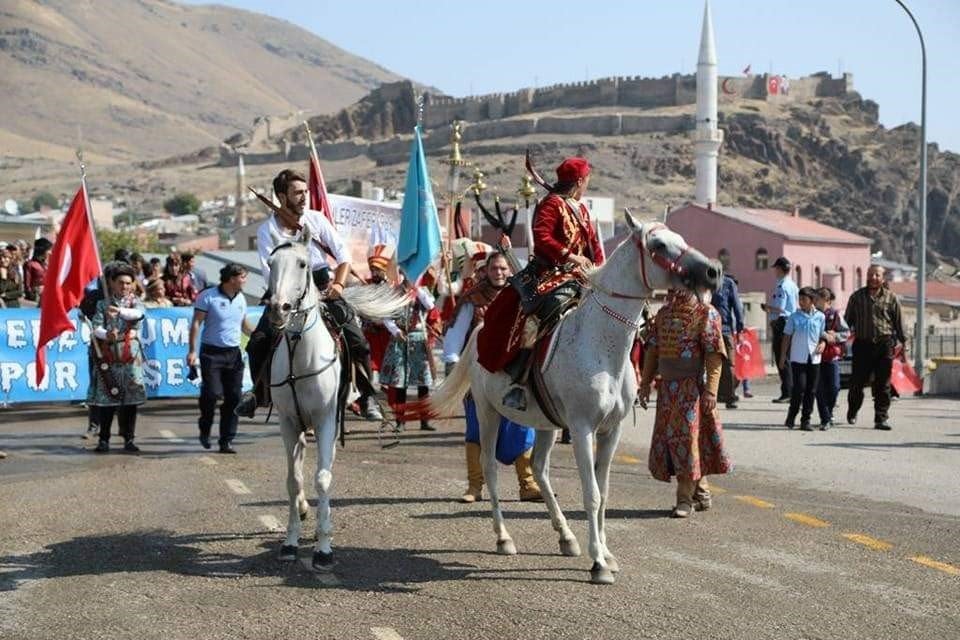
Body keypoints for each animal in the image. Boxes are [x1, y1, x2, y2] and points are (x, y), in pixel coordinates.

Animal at [266, 230, 408, 568]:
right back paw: (302, 508)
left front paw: (324, 548)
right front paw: (290, 543)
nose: (279, 309)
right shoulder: (288, 422)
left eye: (302, 264)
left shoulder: (326, 420)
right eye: (270, 263)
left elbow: (322, 478)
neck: (300, 356)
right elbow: (293, 480)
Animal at [428, 211, 720, 584]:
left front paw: (606, 553)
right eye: (658, 244)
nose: (713, 271)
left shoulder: (610, 431)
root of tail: (478, 331)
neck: (601, 345)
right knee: (490, 466)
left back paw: (565, 536)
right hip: (487, 411)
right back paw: (504, 537)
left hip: (546, 424)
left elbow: (604, 491)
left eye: (681, 239)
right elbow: (591, 493)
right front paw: (598, 564)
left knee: (539, 468)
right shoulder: (582, 429)